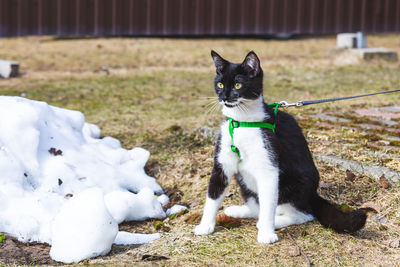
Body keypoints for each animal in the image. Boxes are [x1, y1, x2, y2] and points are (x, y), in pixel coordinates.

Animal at [195, 50, 368, 245]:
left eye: (238, 85)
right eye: (220, 84)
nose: (223, 97)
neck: (243, 122)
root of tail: (312, 194)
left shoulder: (269, 165)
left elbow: (269, 203)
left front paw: (266, 233)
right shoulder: (222, 163)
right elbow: (213, 194)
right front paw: (205, 226)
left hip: (294, 185)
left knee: (303, 214)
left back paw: (273, 222)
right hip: (244, 182)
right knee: (257, 204)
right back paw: (240, 211)